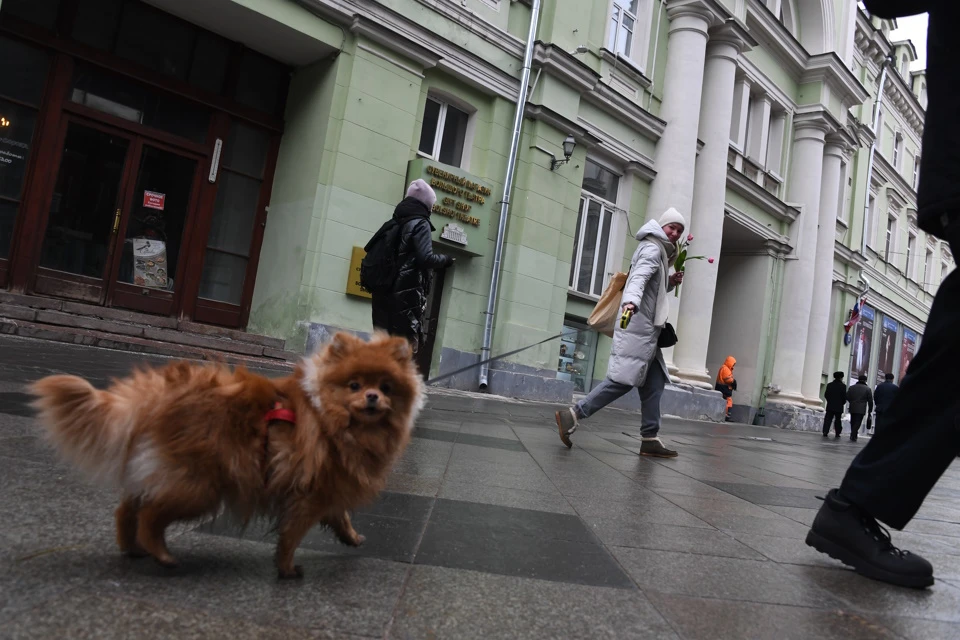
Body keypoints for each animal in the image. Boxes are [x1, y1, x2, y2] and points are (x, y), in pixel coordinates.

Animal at [29, 332, 424, 576]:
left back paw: (134, 549)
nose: (372, 397)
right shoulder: (307, 493)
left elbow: (340, 516)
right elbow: (292, 534)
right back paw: (163, 555)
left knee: (128, 508)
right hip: (199, 488)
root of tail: (156, 396)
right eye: (354, 385)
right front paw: (286, 569)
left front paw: (351, 537)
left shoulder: (326, 485)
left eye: (386, 387)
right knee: (150, 515)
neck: (336, 419)